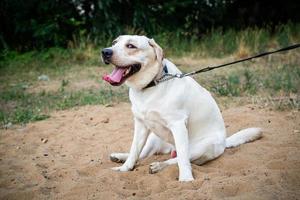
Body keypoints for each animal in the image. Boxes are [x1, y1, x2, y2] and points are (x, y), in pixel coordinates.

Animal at [102, 34, 262, 181]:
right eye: (114, 43)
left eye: (131, 46)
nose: (105, 51)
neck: (151, 85)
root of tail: (225, 142)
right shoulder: (141, 124)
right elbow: (134, 150)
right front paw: (124, 169)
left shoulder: (178, 125)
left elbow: (183, 160)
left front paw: (186, 179)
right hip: (153, 137)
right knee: (143, 154)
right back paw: (120, 157)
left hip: (201, 147)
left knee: (178, 158)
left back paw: (159, 165)